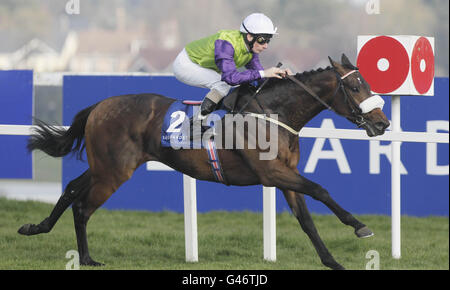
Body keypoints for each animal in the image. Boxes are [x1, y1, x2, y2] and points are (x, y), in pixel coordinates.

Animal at [17, 53, 390, 270]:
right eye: (355, 87)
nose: (383, 123)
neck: (274, 114)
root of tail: (100, 105)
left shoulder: (285, 174)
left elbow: (307, 220)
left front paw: (332, 261)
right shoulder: (272, 172)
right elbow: (321, 189)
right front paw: (359, 226)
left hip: (104, 166)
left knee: (70, 189)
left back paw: (37, 228)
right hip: (113, 172)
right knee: (82, 206)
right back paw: (86, 258)